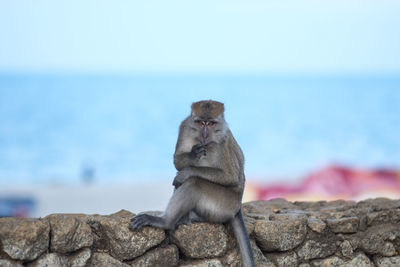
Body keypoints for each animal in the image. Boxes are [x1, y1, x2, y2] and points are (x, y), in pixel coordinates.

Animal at [131, 100, 256, 267]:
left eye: (211, 123)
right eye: (200, 122)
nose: (204, 134)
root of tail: (237, 208)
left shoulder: (222, 141)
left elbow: (230, 177)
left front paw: (188, 172)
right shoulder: (184, 126)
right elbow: (178, 161)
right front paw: (192, 154)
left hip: (224, 206)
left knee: (194, 183)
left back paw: (166, 221)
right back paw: (184, 217)